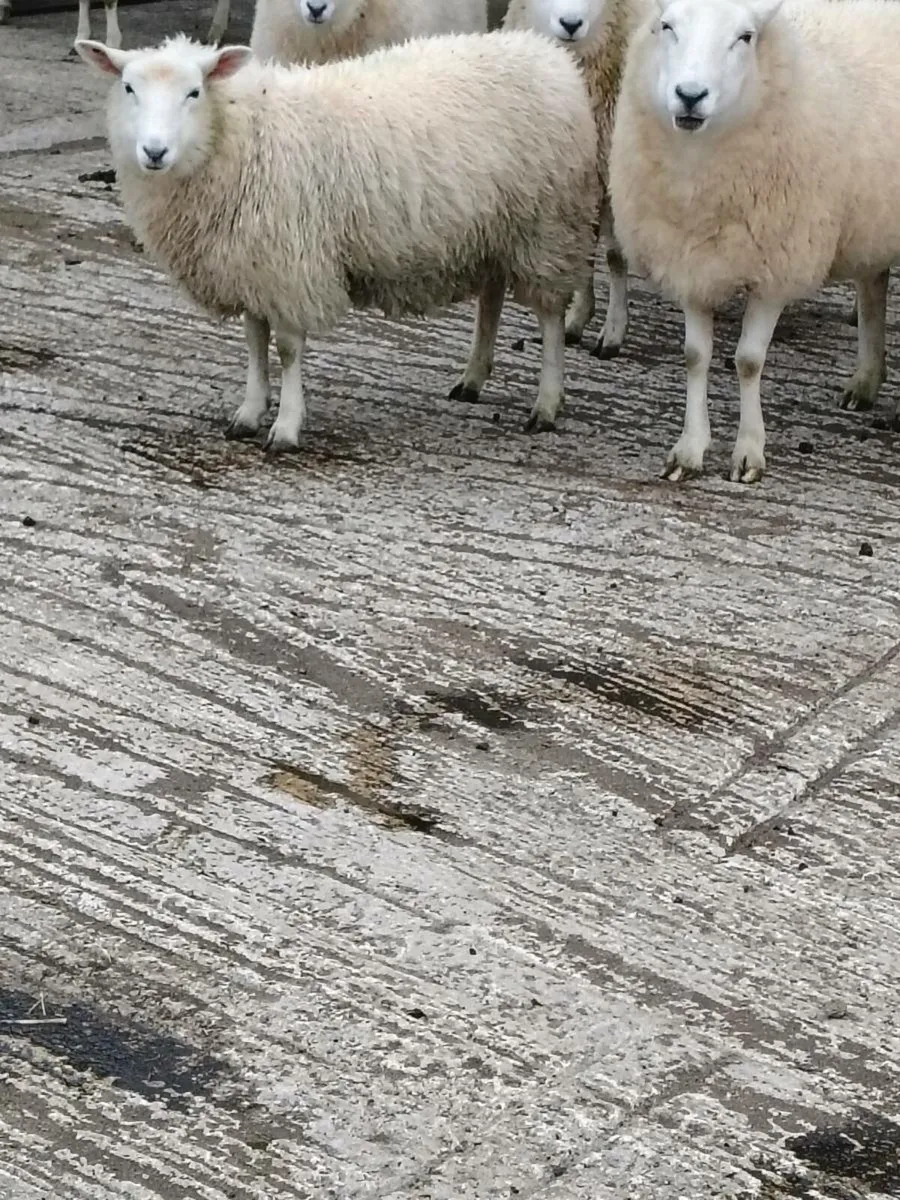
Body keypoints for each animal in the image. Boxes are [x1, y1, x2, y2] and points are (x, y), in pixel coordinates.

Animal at [75, 31, 600, 450]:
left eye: (194, 91)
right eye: (128, 88)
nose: (154, 151)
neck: (244, 133)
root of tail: (546, 52)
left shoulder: (287, 263)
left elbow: (287, 349)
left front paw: (286, 428)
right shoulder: (252, 261)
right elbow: (254, 340)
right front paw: (249, 412)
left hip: (548, 225)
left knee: (550, 314)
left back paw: (546, 405)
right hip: (493, 228)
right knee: (491, 295)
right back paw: (472, 379)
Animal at [504, 0, 651, 358]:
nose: (571, 24)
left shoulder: (616, 176)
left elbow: (614, 256)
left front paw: (613, 333)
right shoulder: (582, 176)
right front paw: (577, 320)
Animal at [608, 0, 900, 484]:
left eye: (745, 37)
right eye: (666, 26)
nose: (690, 95)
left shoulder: (778, 268)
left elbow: (748, 361)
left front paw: (748, 451)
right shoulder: (691, 261)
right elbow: (695, 355)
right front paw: (690, 449)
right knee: (873, 283)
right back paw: (866, 381)